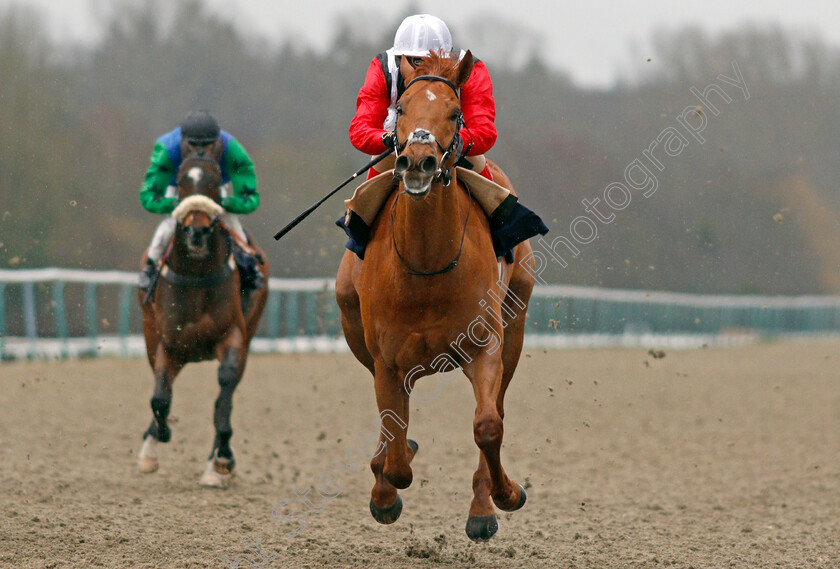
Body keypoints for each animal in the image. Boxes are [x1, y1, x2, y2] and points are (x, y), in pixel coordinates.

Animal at [138, 149, 270, 486]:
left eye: (213, 181)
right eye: (183, 180)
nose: (196, 230)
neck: (197, 275)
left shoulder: (234, 337)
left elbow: (223, 396)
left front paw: (221, 459)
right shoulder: (166, 343)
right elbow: (159, 397)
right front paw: (160, 435)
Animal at [334, 50, 532, 540]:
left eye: (456, 113)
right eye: (400, 108)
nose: (418, 162)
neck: (425, 264)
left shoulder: (485, 344)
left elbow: (487, 426)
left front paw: (504, 496)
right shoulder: (386, 360)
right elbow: (395, 448)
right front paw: (385, 493)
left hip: (515, 323)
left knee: (496, 409)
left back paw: (483, 506)